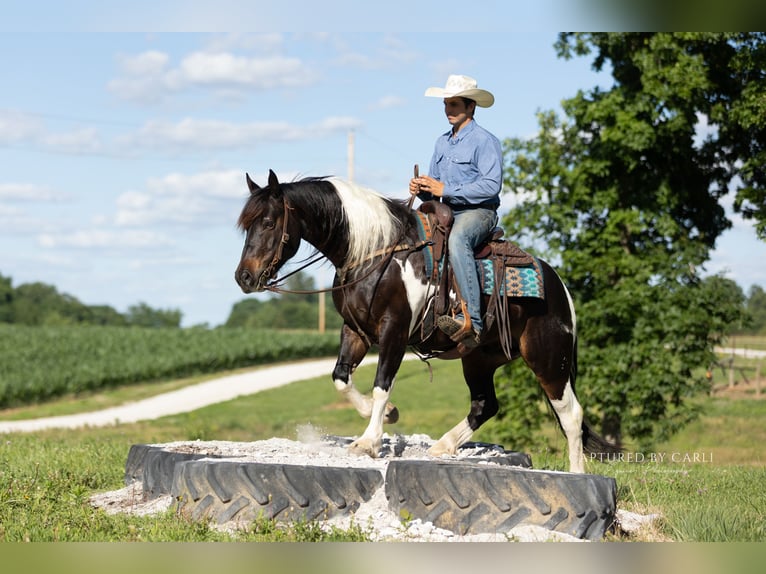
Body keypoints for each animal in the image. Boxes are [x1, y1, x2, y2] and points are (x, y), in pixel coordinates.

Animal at [234, 170, 618, 473]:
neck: (374, 254)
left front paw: (369, 441)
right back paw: (443, 446)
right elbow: (341, 378)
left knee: (571, 415)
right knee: (485, 405)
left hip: (549, 358)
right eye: (246, 226)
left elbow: (381, 384)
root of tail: (558, 285)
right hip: (479, 359)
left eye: (268, 222)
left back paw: (577, 474)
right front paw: (388, 414)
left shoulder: (394, 330)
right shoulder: (355, 330)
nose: (244, 277)